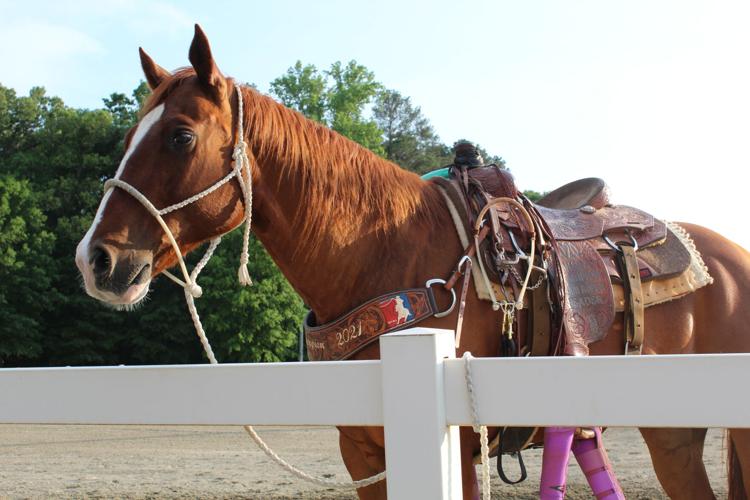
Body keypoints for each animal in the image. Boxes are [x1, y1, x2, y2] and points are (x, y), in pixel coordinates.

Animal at [75, 25, 750, 498]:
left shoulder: (459, 453)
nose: (96, 259)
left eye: (181, 136)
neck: (384, 257)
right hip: (673, 436)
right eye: (132, 133)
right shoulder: (364, 454)